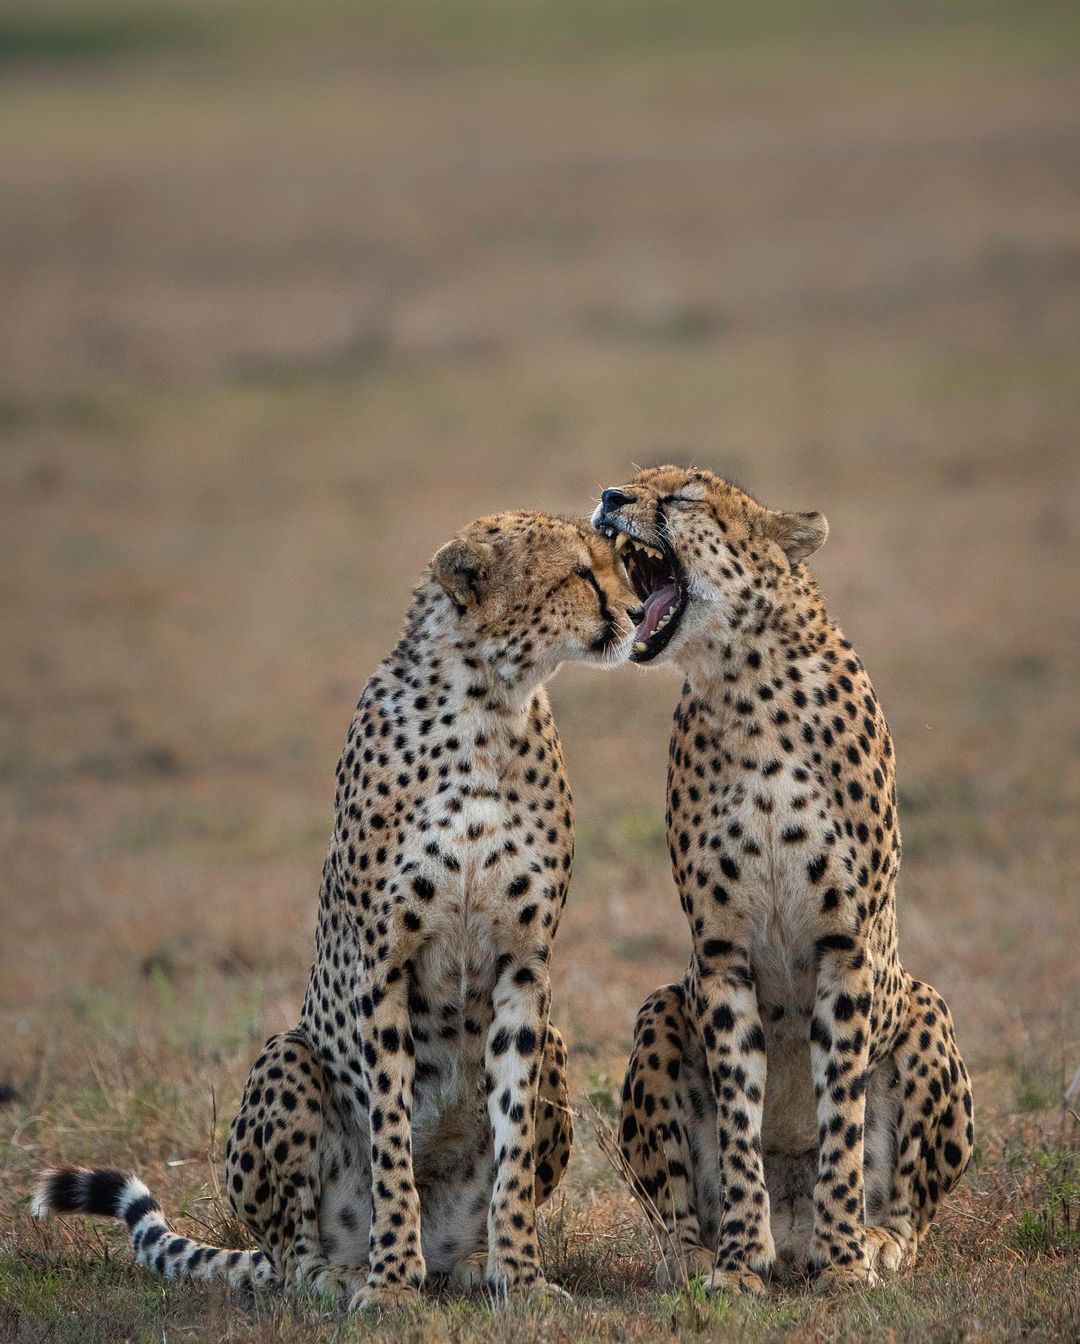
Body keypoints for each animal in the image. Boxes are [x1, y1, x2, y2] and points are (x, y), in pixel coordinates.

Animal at [33, 508, 642, 1306]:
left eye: (616, 561)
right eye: (578, 572)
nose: (635, 614)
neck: (488, 707)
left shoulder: (523, 965)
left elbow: (511, 1141)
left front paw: (521, 1277)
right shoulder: (383, 965)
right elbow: (389, 1135)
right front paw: (389, 1285)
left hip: (559, 1043)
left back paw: (470, 1263)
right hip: (286, 1057)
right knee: (290, 1252)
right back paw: (343, 1272)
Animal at [593, 467, 972, 1295]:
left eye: (684, 496)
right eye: (631, 482)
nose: (607, 498)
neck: (747, 684)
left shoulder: (846, 945)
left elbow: (842, 1119)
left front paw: (846, 1261)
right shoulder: (721, 950)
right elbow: (740, 1116)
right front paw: (739, 1262)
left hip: (925, 1006)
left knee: (911, 1209)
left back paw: (871, 1239)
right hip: (661, 1008)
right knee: (676, 1208)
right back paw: (702, 1257)